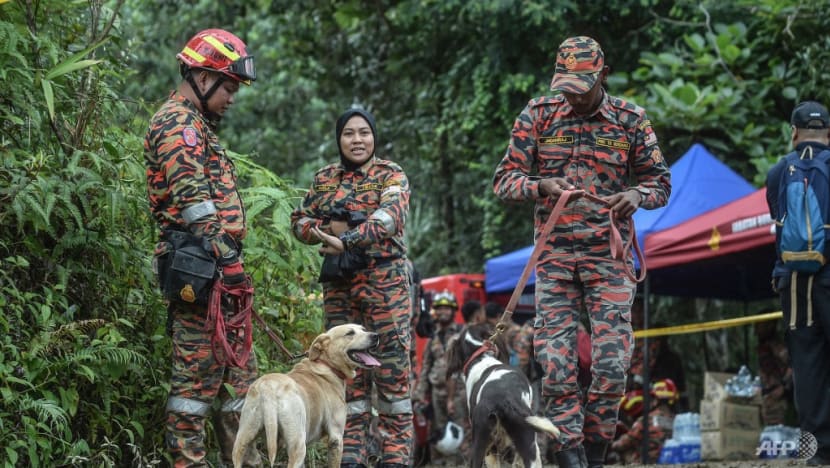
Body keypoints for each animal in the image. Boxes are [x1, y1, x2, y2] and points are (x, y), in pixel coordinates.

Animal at [231, 324, 380, 468]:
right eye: (350, 333)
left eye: (363, 329)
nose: (375, 336)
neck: (326, 365)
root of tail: (268, 387)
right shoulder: (336, 438)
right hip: (297, 446)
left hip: (243, 440)